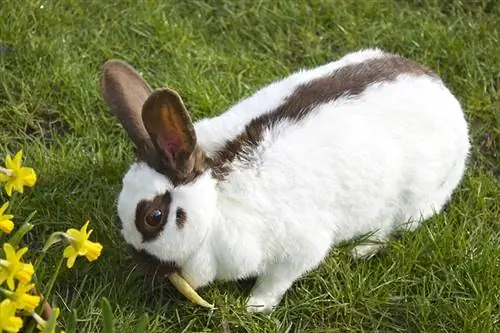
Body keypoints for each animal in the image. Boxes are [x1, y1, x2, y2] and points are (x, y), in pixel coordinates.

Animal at [100, 47, 468, 312]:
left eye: (154, 217)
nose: (143, 265)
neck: (216, 202)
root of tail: (450, 102)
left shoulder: (298, 251)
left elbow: (277, 280)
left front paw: (255, 306)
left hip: (412, 201)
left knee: (391, 228)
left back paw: (361, 250)